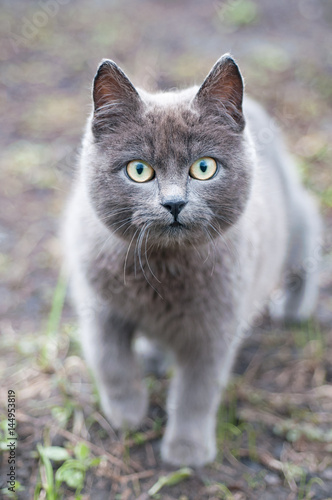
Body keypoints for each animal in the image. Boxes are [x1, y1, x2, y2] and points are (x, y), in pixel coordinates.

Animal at [62, 53, 322, 464]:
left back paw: (294, 307)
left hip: (293, 221)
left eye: (204, 167)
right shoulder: (100, 309)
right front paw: (127, 415)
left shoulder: (214, 329)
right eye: (139, 170)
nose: (174, 203)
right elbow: (111, 365)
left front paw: (186, 450)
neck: (163, 269)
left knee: (307, 226)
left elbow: (196, 392)